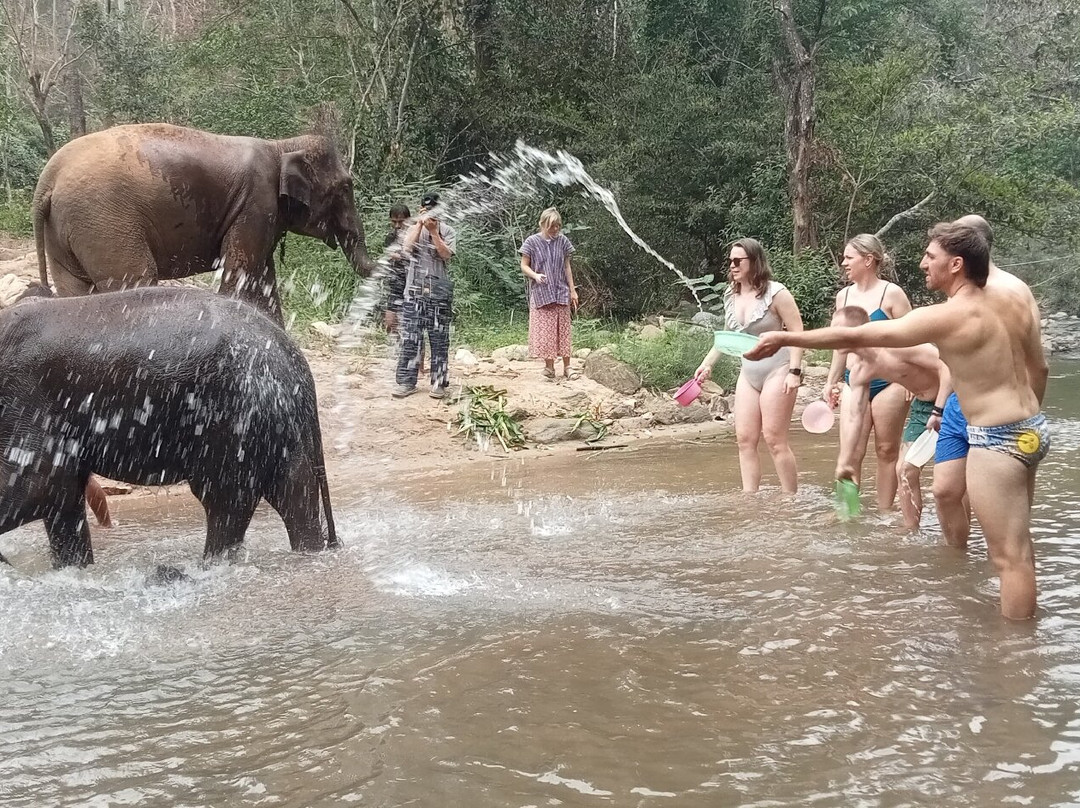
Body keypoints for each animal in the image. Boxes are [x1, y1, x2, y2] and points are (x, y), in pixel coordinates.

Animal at [0, 286, 338, 568]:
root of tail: (293, 355)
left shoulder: (28, 397)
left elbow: (36, 485)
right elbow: (63, 494)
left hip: (236, 413)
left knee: (227, 499)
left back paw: (208, 568)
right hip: (275, 420)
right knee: (293, 494)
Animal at [32, 123, 376, 321]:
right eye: (346, 188)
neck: (281, 144)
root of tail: (47, 179)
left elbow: (263, 278)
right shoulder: (255, 203)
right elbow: (240, 272)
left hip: (66, 229)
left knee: (74, 287)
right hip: (104, 221)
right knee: (135, 278)